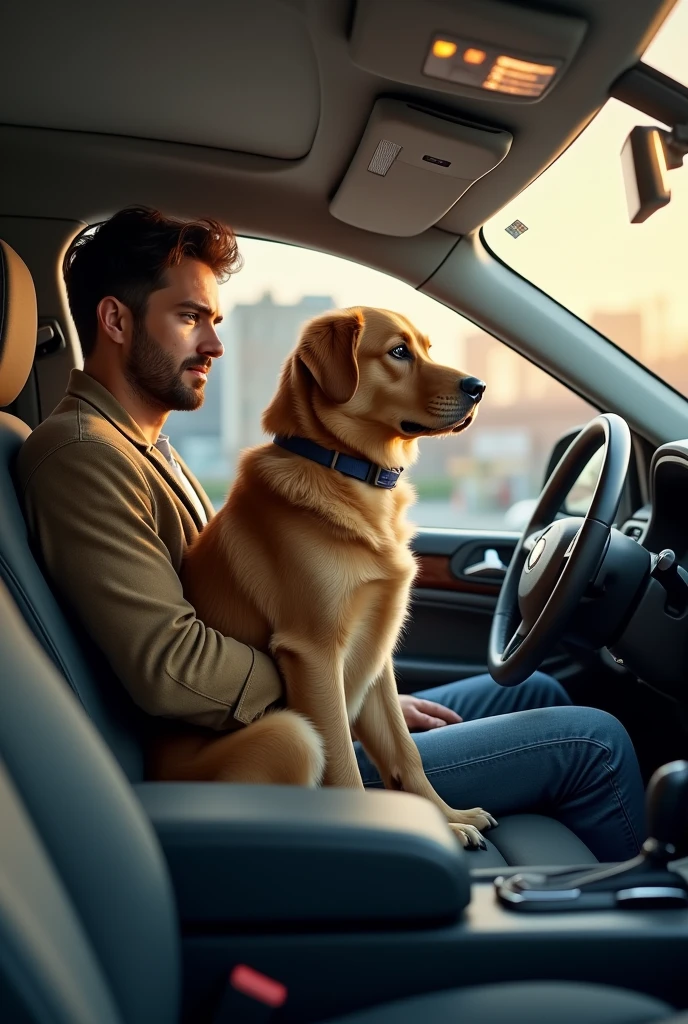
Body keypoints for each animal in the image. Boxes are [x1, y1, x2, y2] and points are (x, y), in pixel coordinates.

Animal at [170, 303, 495, 847]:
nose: (479, 387)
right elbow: (343, 764)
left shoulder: (376, 653)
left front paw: (447, 818)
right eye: (399, 352)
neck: (347, 471)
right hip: (288, 735)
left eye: (427, 347)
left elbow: (405, 750)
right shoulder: (315, 654)